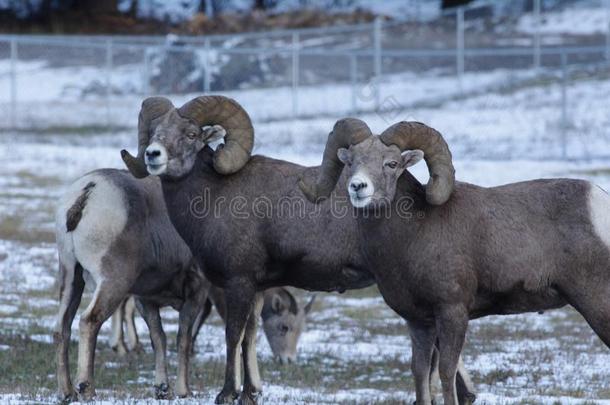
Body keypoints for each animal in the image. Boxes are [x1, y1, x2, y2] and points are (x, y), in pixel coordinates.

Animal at [120, 95, 476, 404]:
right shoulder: (256, 288)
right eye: (155, 131)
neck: (215, 194)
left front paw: (226, 395)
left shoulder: (238, 283)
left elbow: (233, 336)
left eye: (191, 133)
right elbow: (250, 336)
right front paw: (249, 394)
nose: (153, 154)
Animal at [298, 117, 608, 404]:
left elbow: (446, 372)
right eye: (350, 162)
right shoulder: (419, 322)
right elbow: (420, 373)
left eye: (391, 164)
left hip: (596, 303)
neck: (415, 231)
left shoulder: (453, 313)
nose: (358, 187)